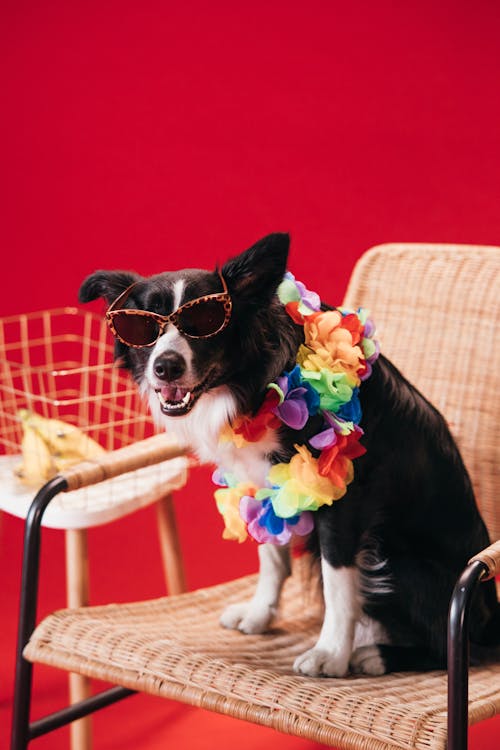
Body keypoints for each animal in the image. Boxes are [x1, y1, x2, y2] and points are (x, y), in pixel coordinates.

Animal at [80, 235, 498, 680]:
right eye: (142, 327)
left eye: (206, 322)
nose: (165, 367)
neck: (252, 384)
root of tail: (491, 612)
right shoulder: (263, 482)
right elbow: (272, 555)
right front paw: (260, 615)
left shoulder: (344, 497)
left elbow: (337, 581)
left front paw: (330, 653)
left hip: (400, 563)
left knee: (457, 649)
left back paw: (375, 655)